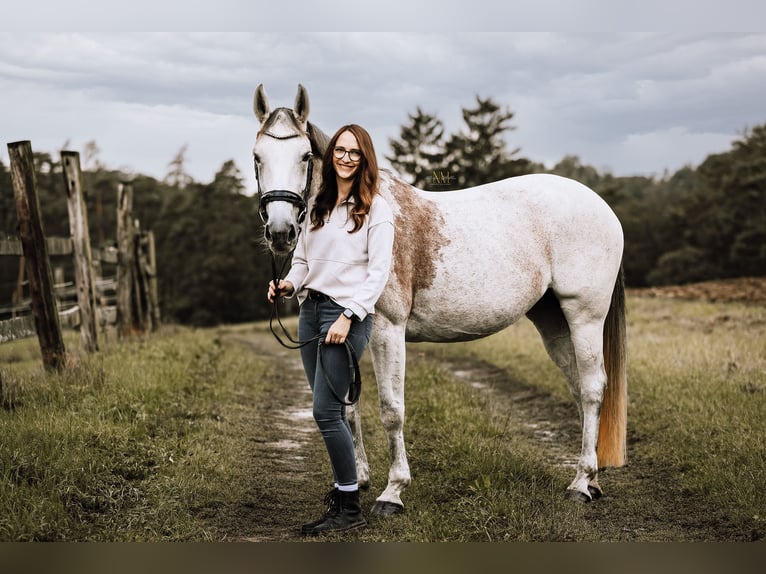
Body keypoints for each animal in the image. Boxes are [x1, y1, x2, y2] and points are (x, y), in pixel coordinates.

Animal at [255, 83, 628, 516]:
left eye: (304, 156)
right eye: (258, 157)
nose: (280, 232)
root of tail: (603, 208)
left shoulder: (387, 331)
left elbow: (391, 410)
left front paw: (393, 491)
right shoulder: (340, 335)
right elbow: (348, 407)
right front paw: (360, 480)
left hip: (584, 316)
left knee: (592, 388)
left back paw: (582, 483)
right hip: (553, 320)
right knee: (580, 388)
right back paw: (591, 479)